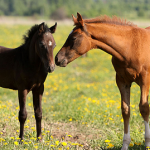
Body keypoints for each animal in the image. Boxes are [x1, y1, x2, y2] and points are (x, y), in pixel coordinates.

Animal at [55, 12, 150, 149]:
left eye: (73, 38)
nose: (57, 59)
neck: (131, 47)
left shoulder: (145, 80)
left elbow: (144, 108)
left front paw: (147, 143)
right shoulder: (122, 81)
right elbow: (125, 110)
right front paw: (125, 145)